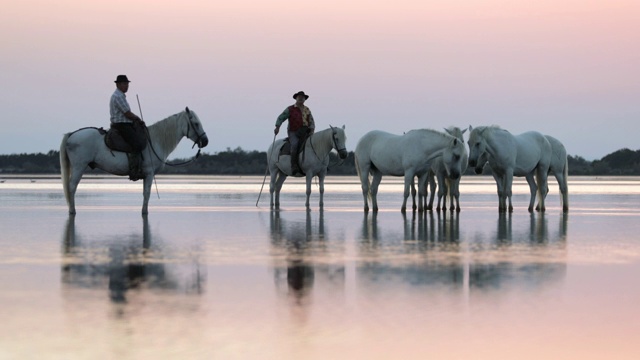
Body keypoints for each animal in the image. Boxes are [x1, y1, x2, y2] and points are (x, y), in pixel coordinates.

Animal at [59, 107, 208, 214]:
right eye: (196, 123)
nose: (205, 141)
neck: (155, 140)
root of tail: (72, 134)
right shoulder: (149, 174)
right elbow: (147, 194)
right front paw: (144, 213)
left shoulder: (146, 176)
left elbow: (144, 194)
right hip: (79, 167)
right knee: (72, 187)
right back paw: (72, 211)